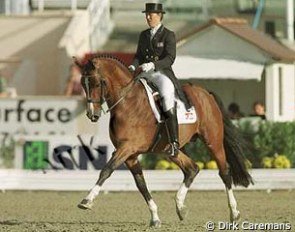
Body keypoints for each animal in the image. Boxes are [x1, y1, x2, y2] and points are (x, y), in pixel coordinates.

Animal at [74, 55, 254, 227]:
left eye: (97, 83)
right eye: (83, 84)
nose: (92, 115)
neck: (127, 102)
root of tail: (206, 94)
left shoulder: (127, 148)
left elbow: (107, 170)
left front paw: (87, 200)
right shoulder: (130, 155)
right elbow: (141, 184)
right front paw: (155, 218)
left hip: (213, 141)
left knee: (225, 172)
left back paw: (234, 213)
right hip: (169, 150)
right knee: (192, 168)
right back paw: (180, 207)